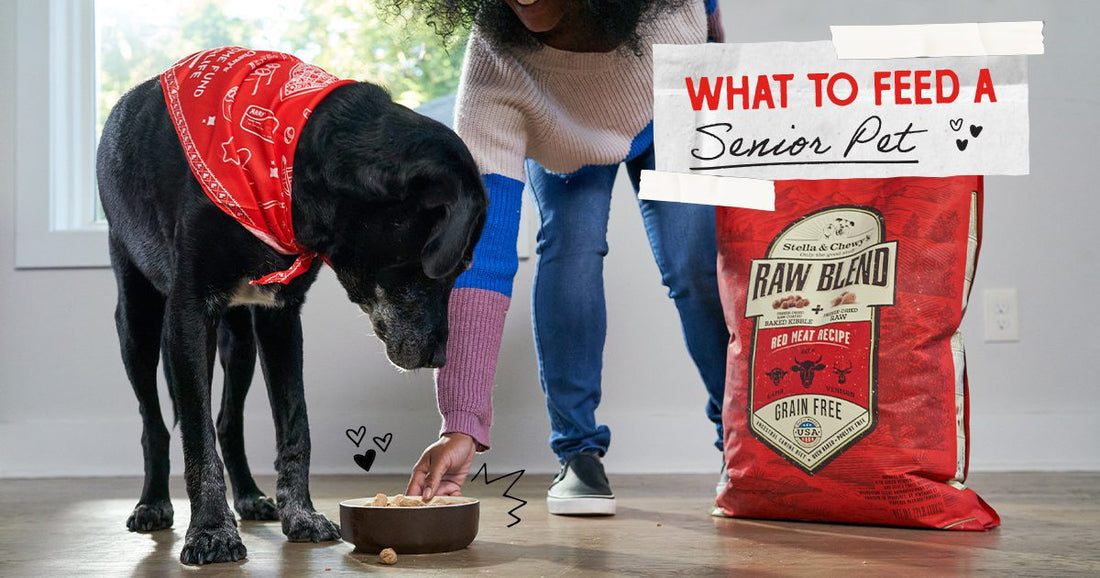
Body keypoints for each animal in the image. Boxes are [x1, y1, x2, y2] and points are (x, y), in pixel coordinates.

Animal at [99, 69, 486, 561]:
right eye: (454, 266)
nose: (440, 358)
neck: (292, 162)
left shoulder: (280, 318)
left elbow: (295, 425)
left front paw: (301, 515)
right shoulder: (187, 312)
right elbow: (197, 437)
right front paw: (210, 530)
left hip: (238, 341)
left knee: (227, 421)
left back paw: (247, 495)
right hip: (139, 323)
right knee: (157, 423)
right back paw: (152, 503)